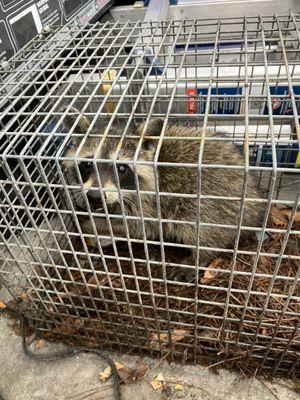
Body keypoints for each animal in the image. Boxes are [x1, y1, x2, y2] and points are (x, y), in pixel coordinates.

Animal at [62, 108, 264, 280]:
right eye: (88, 164)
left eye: (121, 168)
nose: (95, 196)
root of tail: (255, 201)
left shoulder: (152, 202)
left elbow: (139, 228)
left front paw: (97, 224)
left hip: (215, 198)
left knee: (197, 225)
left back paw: (200, 257)